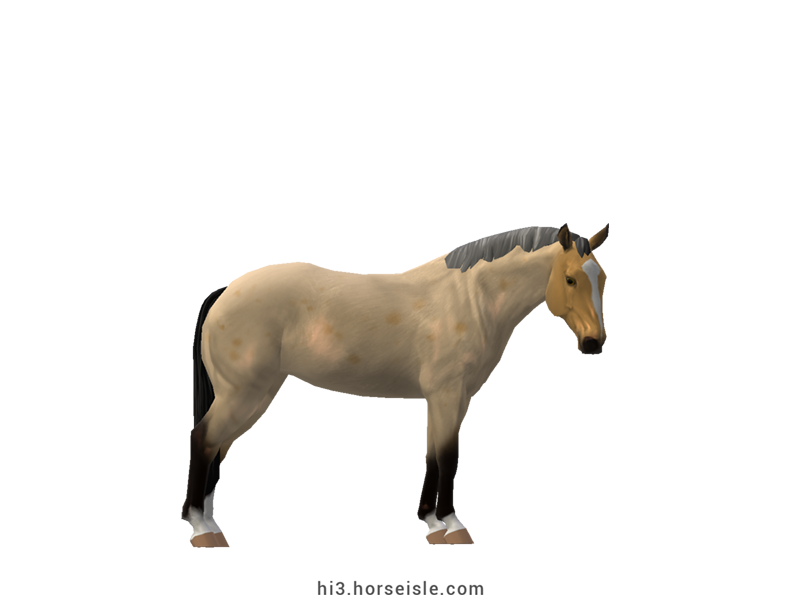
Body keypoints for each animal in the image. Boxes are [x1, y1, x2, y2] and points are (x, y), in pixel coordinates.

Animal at [181, 224, 608, 539]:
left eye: (598, 275)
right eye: (570, 279)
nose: (593, 342)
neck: (472, 298)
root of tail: (225, 294)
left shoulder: (448, 396)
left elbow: (435, 454)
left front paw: (428, 520)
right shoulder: (446, 392)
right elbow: (448, 455)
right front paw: (451, 521)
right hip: (241, 394)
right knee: (203, 438)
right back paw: (199, 525)